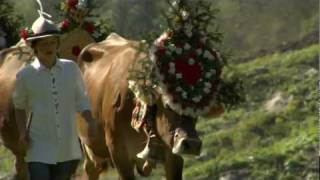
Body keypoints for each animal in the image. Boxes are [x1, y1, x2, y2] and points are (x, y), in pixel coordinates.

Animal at [76, 33, 224, 179]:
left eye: (197, 112)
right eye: (168, 106)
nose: (192, 144)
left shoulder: (173, 154)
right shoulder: (118, 151)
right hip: (89, 149)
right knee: (90, 169)